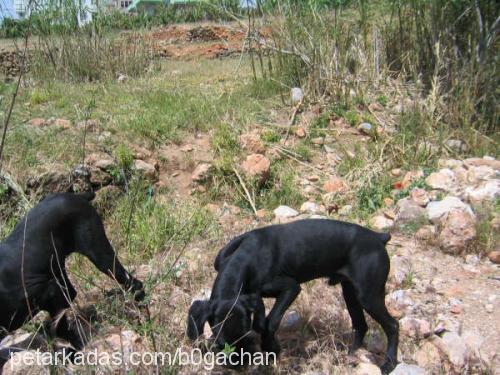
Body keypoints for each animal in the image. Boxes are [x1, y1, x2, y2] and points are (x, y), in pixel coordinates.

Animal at [0, 192, 145, 360]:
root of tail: (74, 195)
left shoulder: (50, 294)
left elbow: (61, 329)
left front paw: (76, 351)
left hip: (99, 254)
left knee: (133, 282)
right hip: (59, 268)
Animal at [187, 219, 398, 374]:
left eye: (246, 339)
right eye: (221, 343)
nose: (239, 367)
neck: (246, 258)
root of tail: (378, 237)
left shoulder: (290, 288)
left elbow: (270, 321)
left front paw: (272, 349)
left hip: (369, 295)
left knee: (392, 325)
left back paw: (389, 364)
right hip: (350, 292)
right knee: (360, 325)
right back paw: (350, 356)